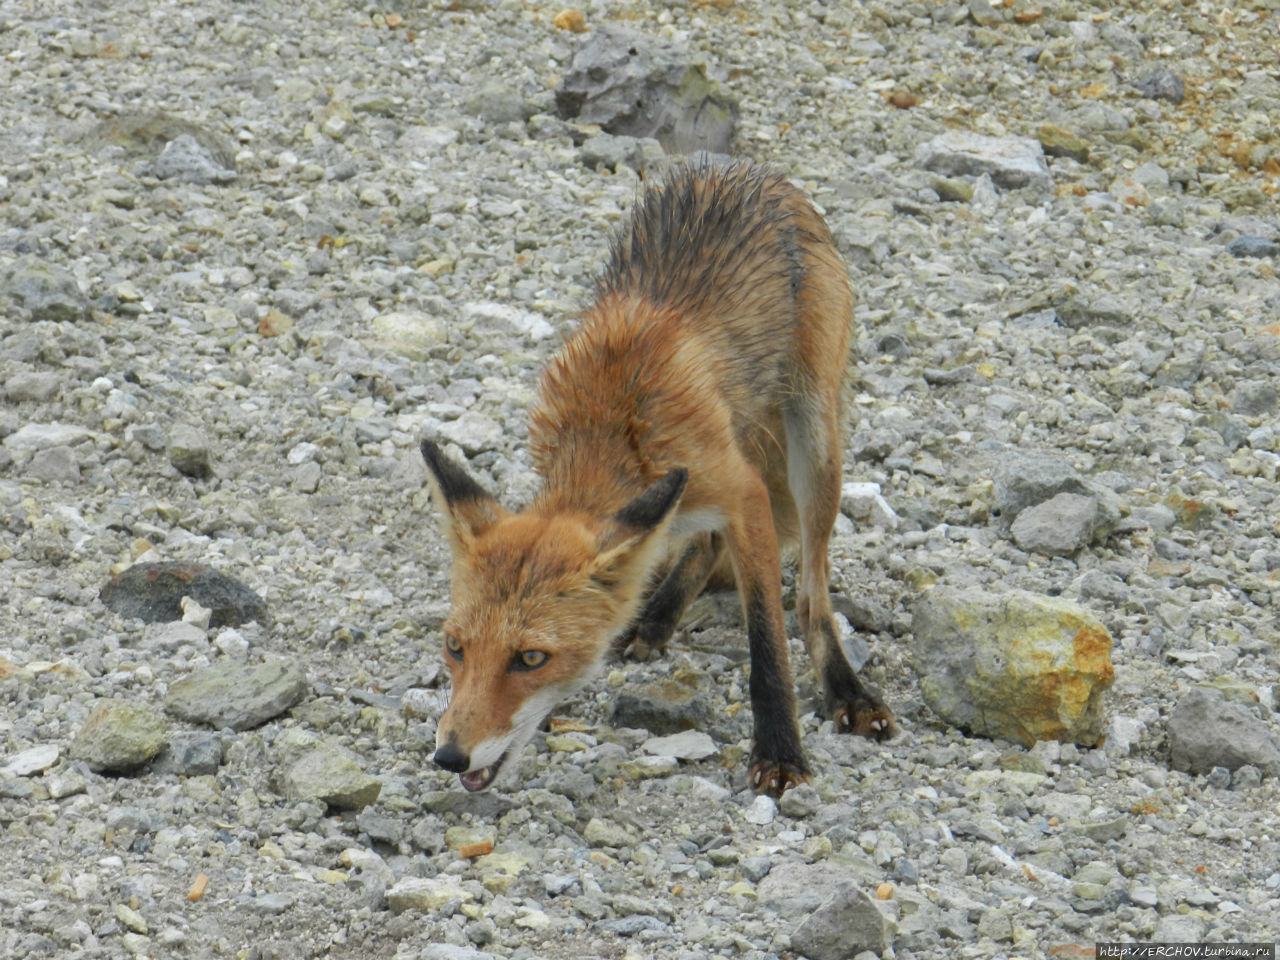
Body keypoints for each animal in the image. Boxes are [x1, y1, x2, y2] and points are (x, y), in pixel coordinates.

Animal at [419, 160, 890, 798]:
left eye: (531, 658)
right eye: (455, 647)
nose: (449, 756)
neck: (612, 423)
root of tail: (754, 171)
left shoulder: (741, 491)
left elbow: (768, 643)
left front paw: (779, 751)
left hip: (814, 444)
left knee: (812, 595)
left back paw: (846, 689)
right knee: (707, 543)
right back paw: (657, 617)